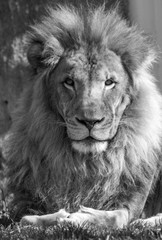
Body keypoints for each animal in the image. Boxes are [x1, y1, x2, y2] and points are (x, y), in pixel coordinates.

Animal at [5, 3, 162, 229]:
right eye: (69, 82)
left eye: (109, 82)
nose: (90, 121)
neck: (87, 164)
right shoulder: (23, 205)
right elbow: (26, 219)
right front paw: (57, 217)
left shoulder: (133, 200)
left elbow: (117, 217)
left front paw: (82, 216)